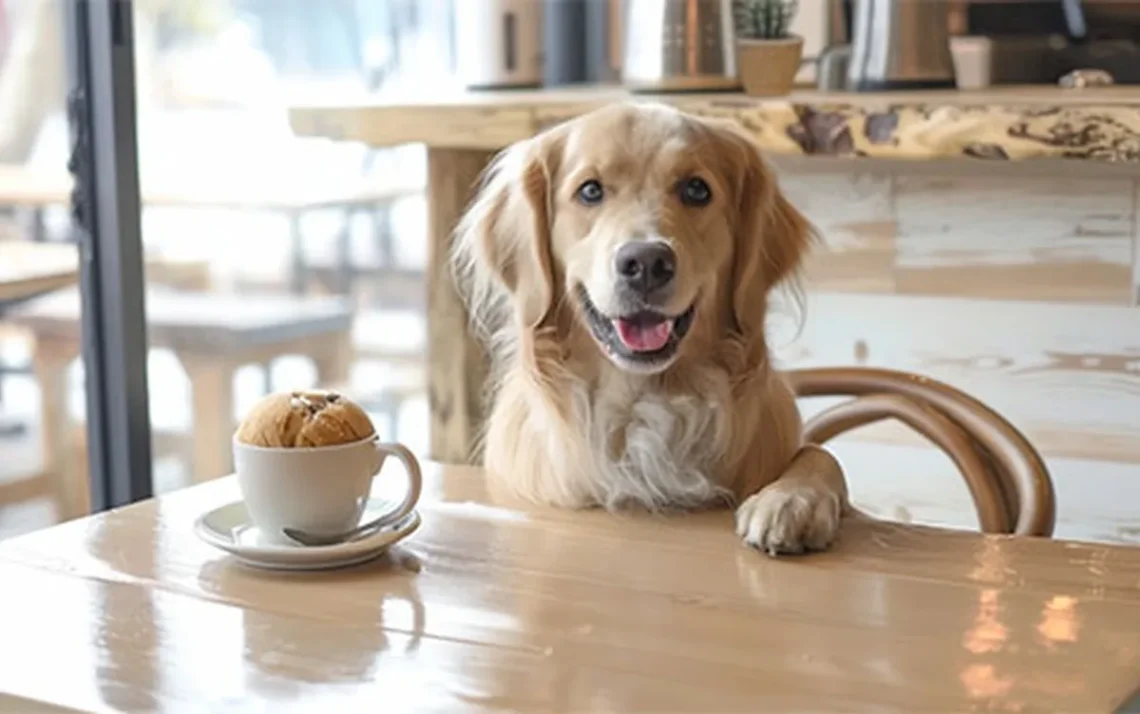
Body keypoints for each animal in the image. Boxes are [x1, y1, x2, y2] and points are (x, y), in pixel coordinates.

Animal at [451, 102, 848, 554]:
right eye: (590, 191)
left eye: (696, 190)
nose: (646, 263)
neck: (642, 401)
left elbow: (821, 455)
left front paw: (789, 502)